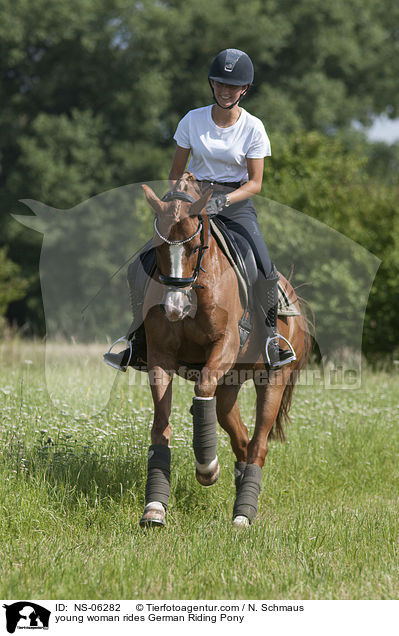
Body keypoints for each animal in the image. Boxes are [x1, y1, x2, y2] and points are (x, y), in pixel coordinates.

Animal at [139, 173, 310, 528]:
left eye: (194, 247)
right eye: (158, 248)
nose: (174, 309)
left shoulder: (226, 344)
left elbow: (203, 387)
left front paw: (207, 468)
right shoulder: (160, 356)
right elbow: (161, 425)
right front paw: (155, 506)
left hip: (273, 381)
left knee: (258, 445)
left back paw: (243, 514)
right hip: (230, 387)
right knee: (241, 440)